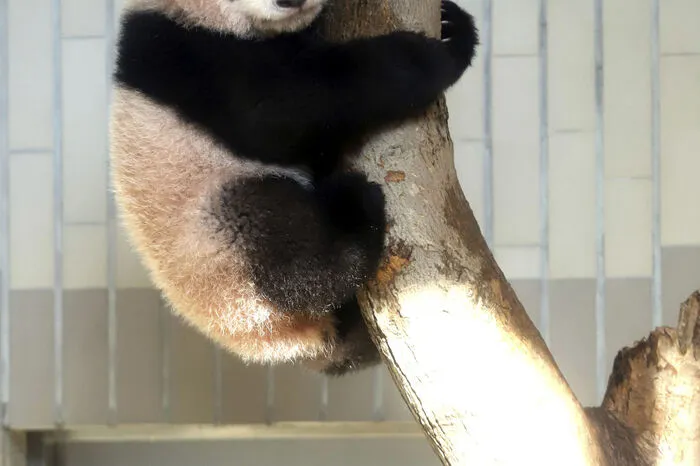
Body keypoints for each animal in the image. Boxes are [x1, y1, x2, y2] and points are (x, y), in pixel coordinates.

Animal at [110, 0, 478, 375]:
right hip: (214, 249)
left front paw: (452, 25)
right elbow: (282, 107)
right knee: (280, 243)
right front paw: (430, 56)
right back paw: (354, 217)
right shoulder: (188, 56)